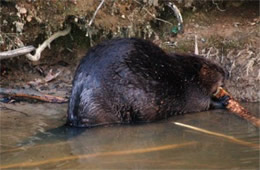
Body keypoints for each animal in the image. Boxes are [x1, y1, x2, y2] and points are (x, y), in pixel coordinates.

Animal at [67, 37, 228, 127]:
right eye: (214, 67)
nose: (225, 72)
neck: (185, 74)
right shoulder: (192, 92)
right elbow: (204, 104)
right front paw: (224, 100)